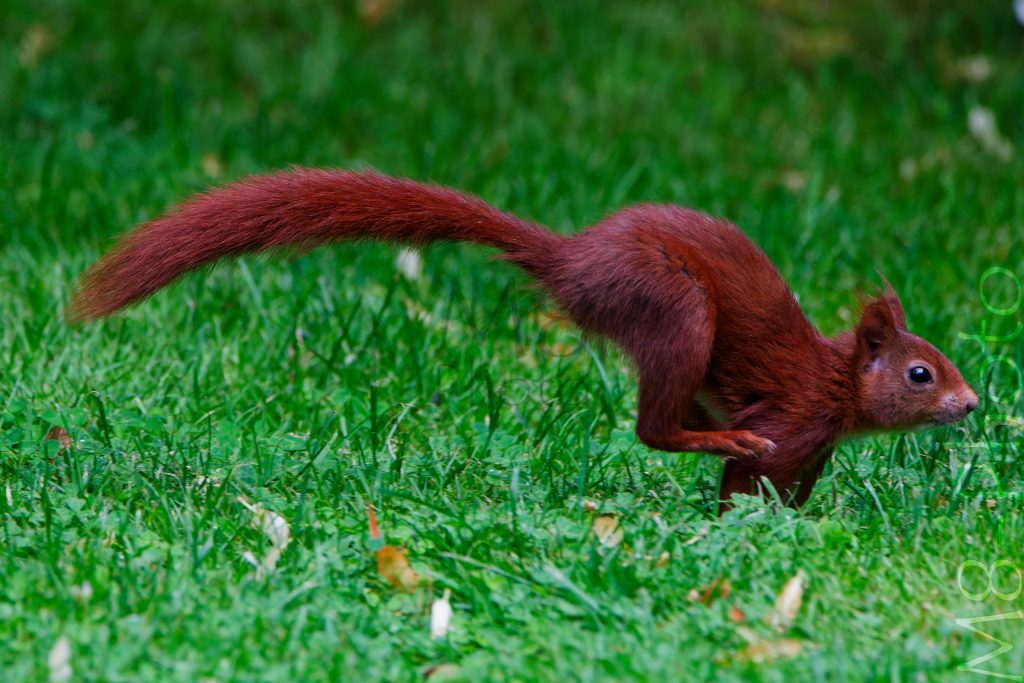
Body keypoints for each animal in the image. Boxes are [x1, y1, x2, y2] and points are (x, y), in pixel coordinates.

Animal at [69, 168, 978, 511]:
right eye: (921, 372)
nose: (972, 402)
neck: (839, 384)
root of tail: (573, 260)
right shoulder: (793, 419)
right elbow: (747, 482)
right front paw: (745, 521)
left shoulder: (815, 448)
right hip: (676, 308)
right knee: (653, 428)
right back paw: (712, 432)